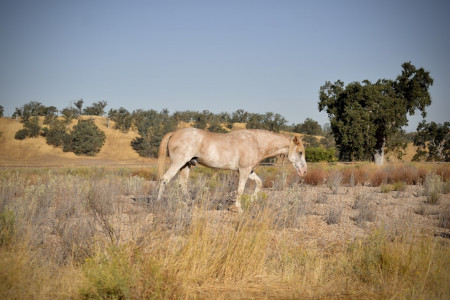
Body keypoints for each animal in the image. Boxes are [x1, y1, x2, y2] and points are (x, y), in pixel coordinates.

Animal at [156, 127, 308, 212]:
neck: (256, 142)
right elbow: (240, 189)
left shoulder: (248, 171)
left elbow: (259, 183)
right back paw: (158, 202)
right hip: (178, 163)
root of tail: (174, 133)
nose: (304, 171)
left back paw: (187, 204)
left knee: (182, 184)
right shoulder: (244, 170)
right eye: (300, 152)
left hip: (186, 165)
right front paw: (238, 208)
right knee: (164, 179)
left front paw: (251, 200)